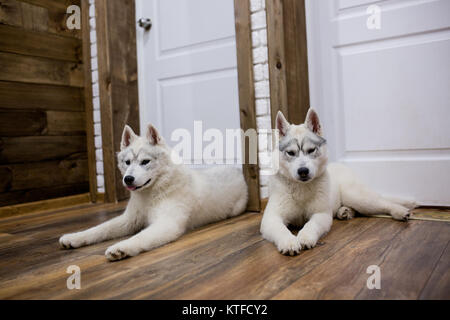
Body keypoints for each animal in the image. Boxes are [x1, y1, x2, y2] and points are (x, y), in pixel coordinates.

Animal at [59, 124, 250, 262]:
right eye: (127, 162)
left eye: (145, 162)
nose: (128, 179)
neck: (150, 194)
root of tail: (236, 170)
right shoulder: (129, 220)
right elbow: (100, 229)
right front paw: (75, 237)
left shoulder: (167, 223)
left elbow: (140, 237)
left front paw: (122, 248)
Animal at [262, 109, 416, 256]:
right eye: (291, 153)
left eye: (311, 150)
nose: (303, 171)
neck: (301, 187)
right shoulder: (271, 218)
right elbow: (281, 229)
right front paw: (288, 242)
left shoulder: (321, 214)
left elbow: (311, 224)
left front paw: (305, 237)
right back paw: (345, 211)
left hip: (358, 198)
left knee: (384, 203)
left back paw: (399, 211)